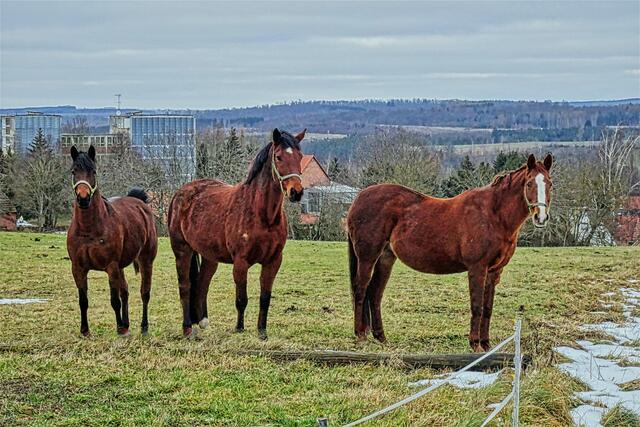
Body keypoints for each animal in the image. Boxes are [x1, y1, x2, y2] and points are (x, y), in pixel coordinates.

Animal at [66, 145, 158, 337]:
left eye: (93, 171)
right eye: (73, 171)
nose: (83, 198)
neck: (89, 229)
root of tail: (140, 203)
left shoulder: (111, 266)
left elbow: (114, 300)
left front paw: (120, 328)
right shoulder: (78, 269)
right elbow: (83, 301)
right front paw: (85, 330)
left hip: (145, 261)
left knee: (144, 292)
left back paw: (143, 327)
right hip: (121, 266)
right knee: (125, 291)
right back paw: (127, 324)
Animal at [168, 128, 306, 339]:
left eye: (300, 156)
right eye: (279, 157)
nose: (296, 192)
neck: (262, 215)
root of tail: (179, 193)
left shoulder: (273, 261)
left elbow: (265, 298)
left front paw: (262, 332)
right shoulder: (241, 262)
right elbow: (241, 299)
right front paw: (239, 328)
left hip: (209, 257)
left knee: (202, 284)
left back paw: (203, 323)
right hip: (182, 250)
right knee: (185, 286)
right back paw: (187, 328)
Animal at [347, 153, 553, 352]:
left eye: (550, 184)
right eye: (529, 183)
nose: (540, 217)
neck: (493, 215)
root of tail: (358, 199)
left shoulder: (495, 271)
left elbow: (487, 308)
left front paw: (486, 345)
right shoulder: (477, 268)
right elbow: (477, 306)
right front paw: (475, 344)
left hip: (386, 258)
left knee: (375, 293)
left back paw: (381, 338)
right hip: (367, 257)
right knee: (361, 289)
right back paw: (361, 336)